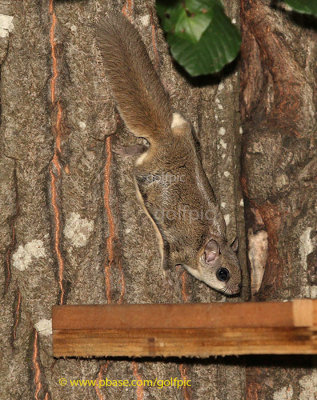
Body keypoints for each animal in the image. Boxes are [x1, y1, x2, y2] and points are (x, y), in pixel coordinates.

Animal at [95, 13, 241, 294]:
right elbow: (167, 260)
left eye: (241, 270)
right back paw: (124, 149)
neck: (204, 242)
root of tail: (166, 137)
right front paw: (167, 277)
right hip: (145, 169)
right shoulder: (177, 249)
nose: (236, 290)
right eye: (223, 273)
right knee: (139, 158)